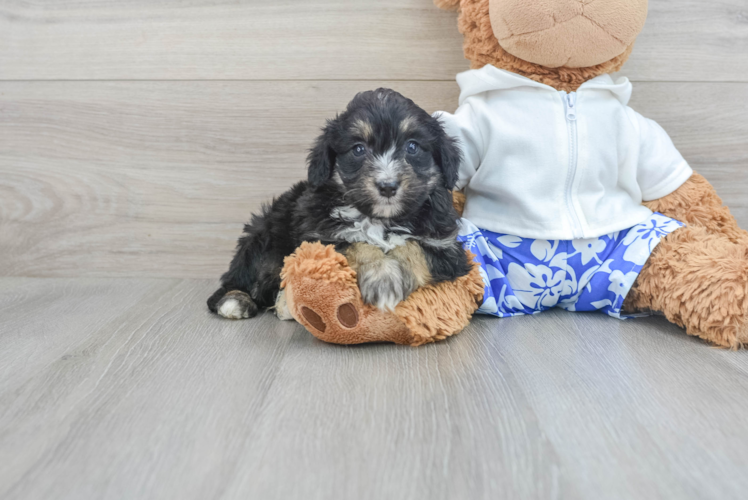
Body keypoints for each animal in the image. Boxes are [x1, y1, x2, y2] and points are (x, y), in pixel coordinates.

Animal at [207, 87, 470, 318]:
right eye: (358, 149)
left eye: (413, 146)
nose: (387, 186)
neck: (380, 219)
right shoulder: (318, 239)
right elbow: (356, 244)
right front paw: (381, 276)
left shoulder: (446, 248)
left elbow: (413, 247)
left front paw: (389, 278)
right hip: (262, 235)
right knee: (241, 278)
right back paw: (236, 301)